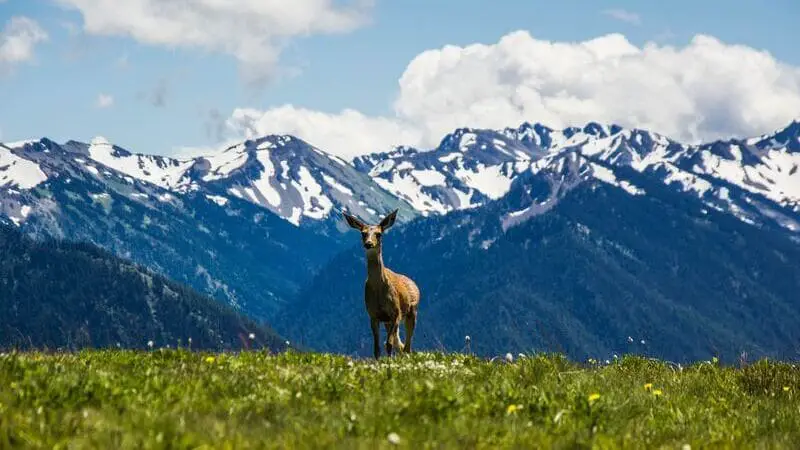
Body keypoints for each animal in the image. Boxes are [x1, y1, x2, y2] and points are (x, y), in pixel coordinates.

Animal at [342, 209, 422, 360]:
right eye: (363, 233)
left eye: (379, 234)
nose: (368, 243)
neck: (379, 290)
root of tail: (414, 283)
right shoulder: (373, 315)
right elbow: (377, 347)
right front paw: (379, 361)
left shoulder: (395, 313)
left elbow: (388, 344)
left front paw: (388, 361)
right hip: (388, 321)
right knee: (400, 344)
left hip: (412, 311)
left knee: (407, 345)